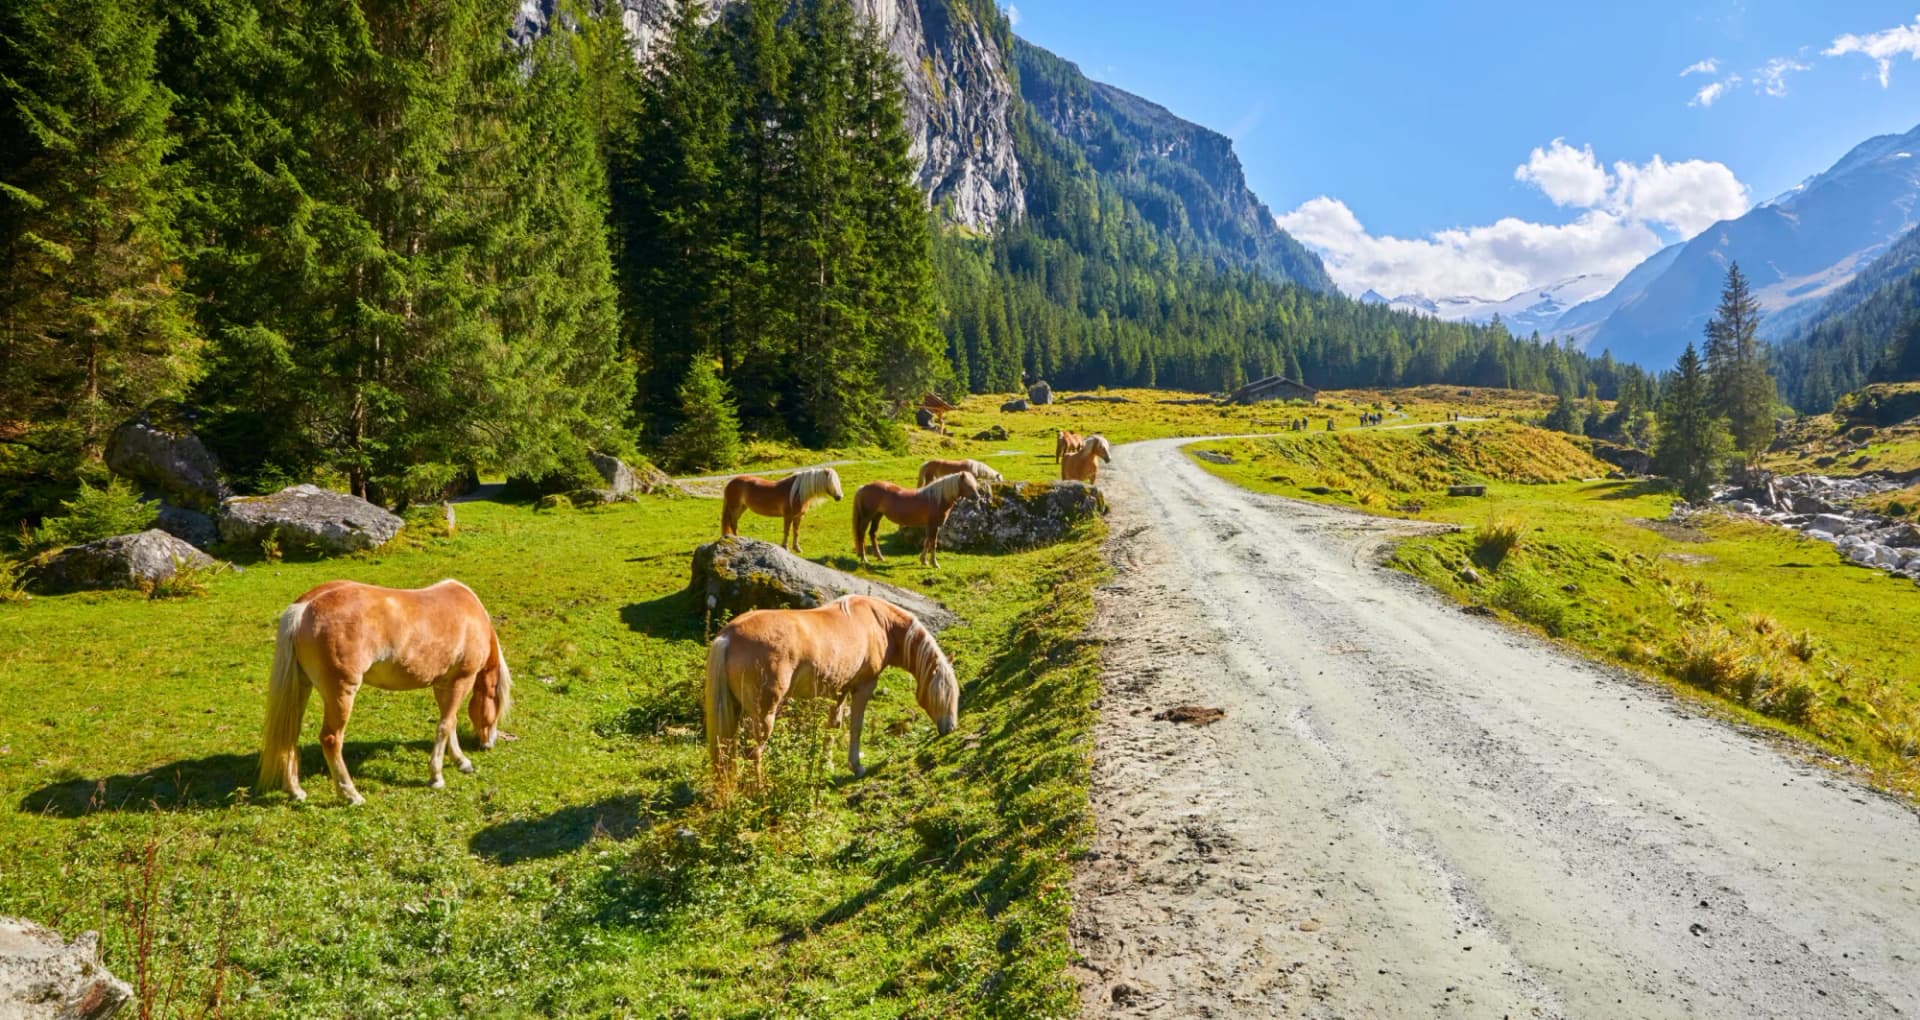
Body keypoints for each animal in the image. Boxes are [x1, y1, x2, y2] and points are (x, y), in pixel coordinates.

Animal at [255, 579, 513, 805]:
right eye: (496, 705)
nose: (489, 743)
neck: (471, 613)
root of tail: (305, 607)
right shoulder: (461, 680)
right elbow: (444, 726)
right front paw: (436, 777)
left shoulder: (443, 684)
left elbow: (450, 723)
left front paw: (460, 761)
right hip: (341, 693)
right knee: (331, 739)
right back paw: (351, 795)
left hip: (301, 687)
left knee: (289, 733)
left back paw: (295, 791)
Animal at [704, 595, 958, 782]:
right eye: (943, 693)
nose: (950, 728)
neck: (879, 623)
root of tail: (728, 636)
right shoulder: (864, 687)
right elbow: (856, 726)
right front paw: (857, 767)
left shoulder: (840, 690)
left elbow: (833, 726)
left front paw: (826, 765)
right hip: (764, 713)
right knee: (753, 752)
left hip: (735, 710)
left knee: (727, 748)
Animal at [851, 471, 981, 567]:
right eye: (967, 484)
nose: (977, 497)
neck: (936, 498)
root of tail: (863, 487)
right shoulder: (933, 525)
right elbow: (933, 543)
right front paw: (934, 563)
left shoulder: (933, 525)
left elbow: (927, 541)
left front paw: (924, 560)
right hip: (867, 517)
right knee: (861, 534)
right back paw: (864, 559)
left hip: (877, 516)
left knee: (872, 533)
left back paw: (880, 557)